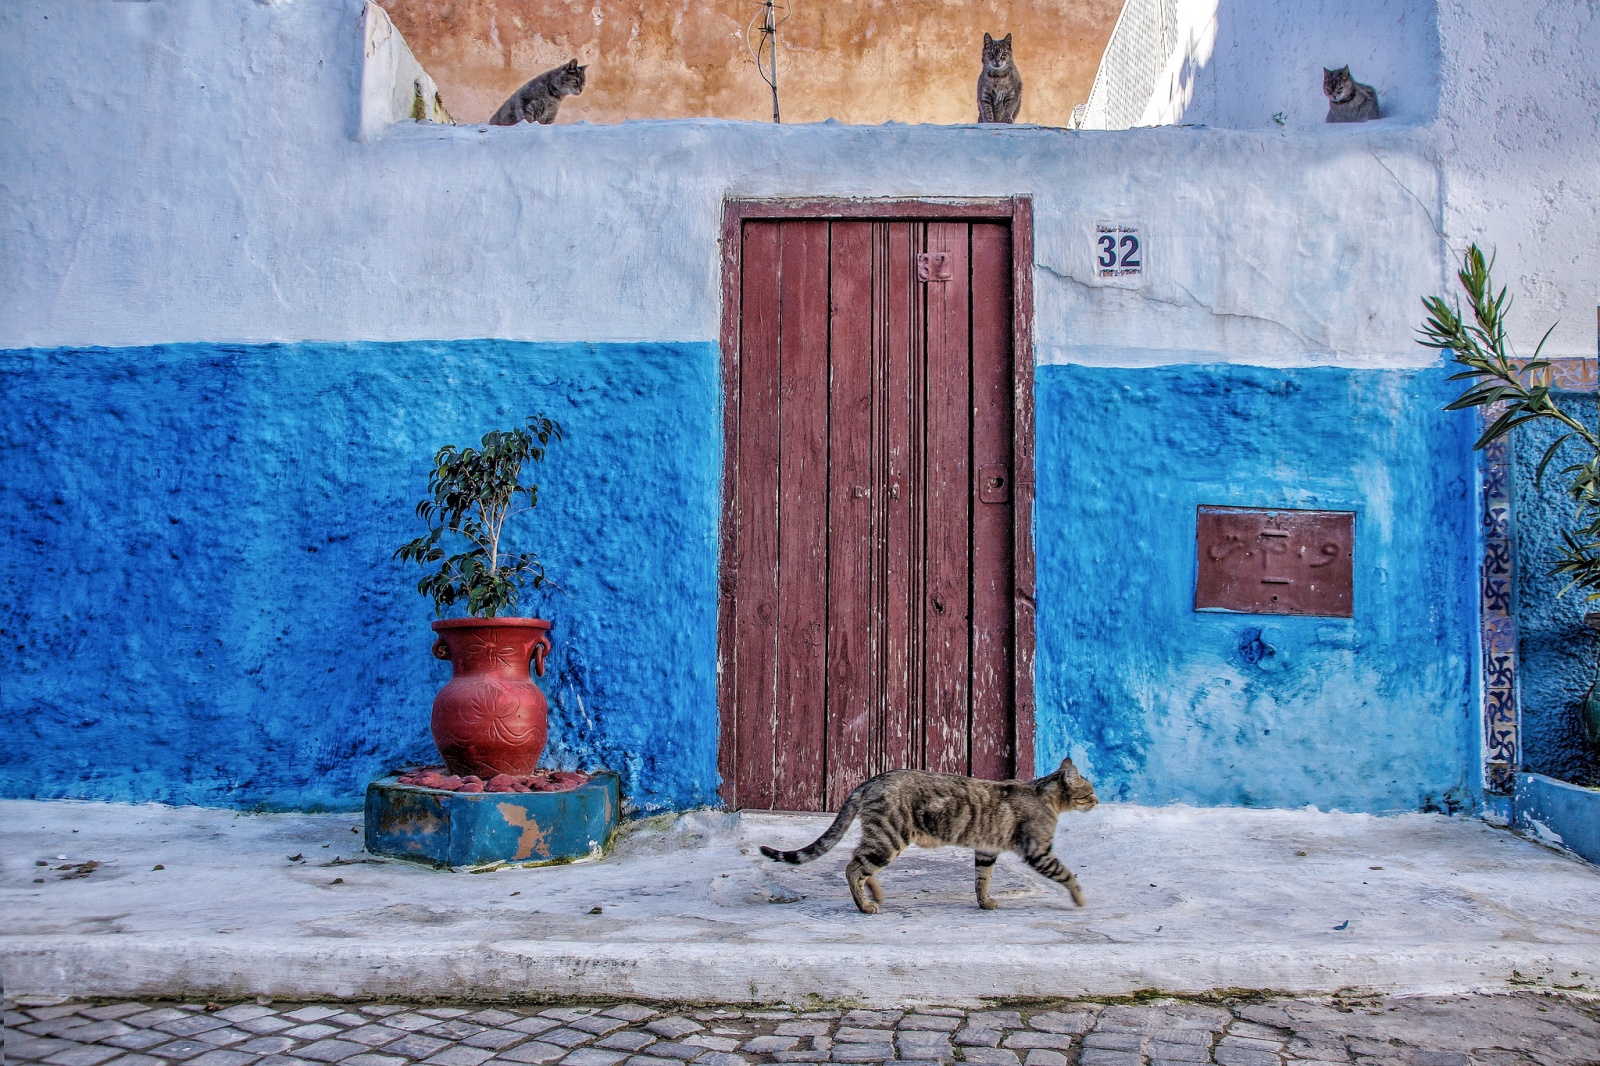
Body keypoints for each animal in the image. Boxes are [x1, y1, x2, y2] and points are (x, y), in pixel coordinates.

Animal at [758, 755, 1088, 915]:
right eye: (1090, 791)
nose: (1096, 800)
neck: (1044, 794)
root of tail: (871, 780)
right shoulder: (1038, 850)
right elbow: (1067, 874)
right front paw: (1081, 898)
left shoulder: (986, 850)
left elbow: (982, 880)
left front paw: (985, 902)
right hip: (890, 837)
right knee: (853, 867)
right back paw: (865, 906)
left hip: (880, 836)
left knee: (858, 862)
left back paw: (874, 893)